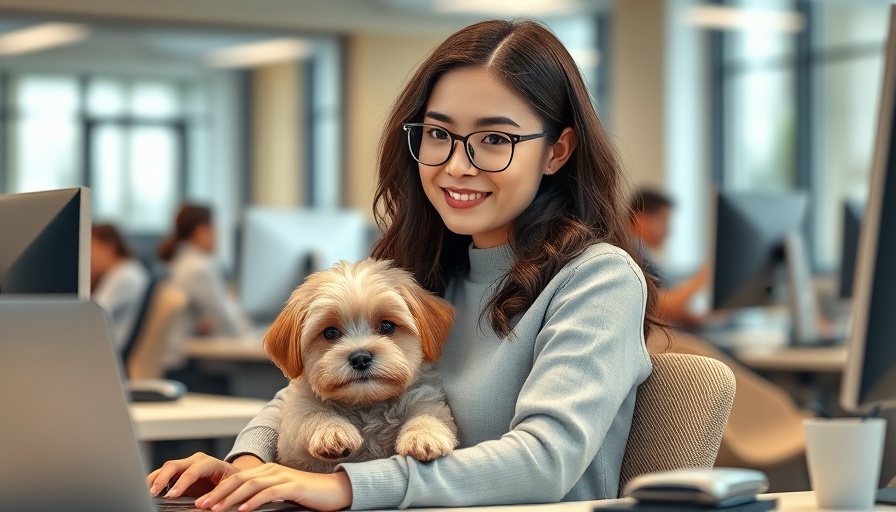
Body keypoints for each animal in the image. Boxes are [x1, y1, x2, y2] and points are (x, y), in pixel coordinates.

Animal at [260, 258, 456, 474]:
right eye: (330, 332)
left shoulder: (424, 396)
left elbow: (428, 413)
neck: (367, 405)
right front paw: (331, 430)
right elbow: (313, 414)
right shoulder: (296, 426)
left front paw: (423, 434)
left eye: (387, 326)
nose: (360, 358)